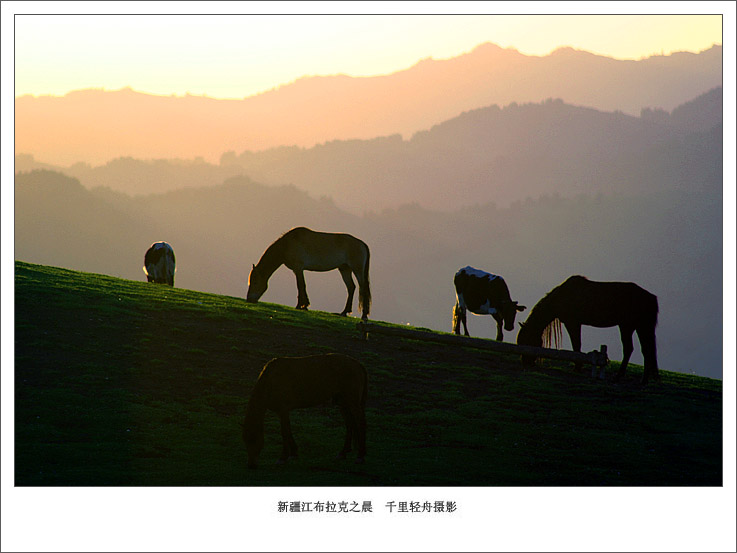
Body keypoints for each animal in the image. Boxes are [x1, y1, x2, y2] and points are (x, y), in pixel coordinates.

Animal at [516, 276, 660, 384]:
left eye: (527, 340)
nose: (526, 363)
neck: (563, 297)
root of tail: (651, 297)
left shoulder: (573, 323)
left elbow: (576, 345)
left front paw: (578, 367)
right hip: (641, 327)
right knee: (646, 350)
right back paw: (644, 380)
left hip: (627, 326)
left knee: (629, 348)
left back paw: (619, 376)